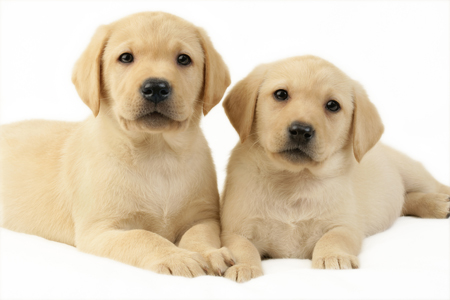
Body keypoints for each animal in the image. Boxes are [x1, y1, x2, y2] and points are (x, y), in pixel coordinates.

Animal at [1, 12, 236, 278]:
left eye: (184, 59)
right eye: (125, 57)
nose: (156, 87)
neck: (158, 153)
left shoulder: (204, 217)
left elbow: (199, 235)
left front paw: (210, 253)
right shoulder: (101, 230)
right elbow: (143, 237)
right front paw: (176, 256)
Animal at [221, 55, 450, 282]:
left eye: (332, 105)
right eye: (280, 94)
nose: (300, 130)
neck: (294, 180)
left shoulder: (345, 224)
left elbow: (333, 238)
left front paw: (334, 257)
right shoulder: (235, 229)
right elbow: (241, 246)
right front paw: (244, 266)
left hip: (412, 172)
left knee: (431, 187)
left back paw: (441, 202)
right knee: (406, 200)